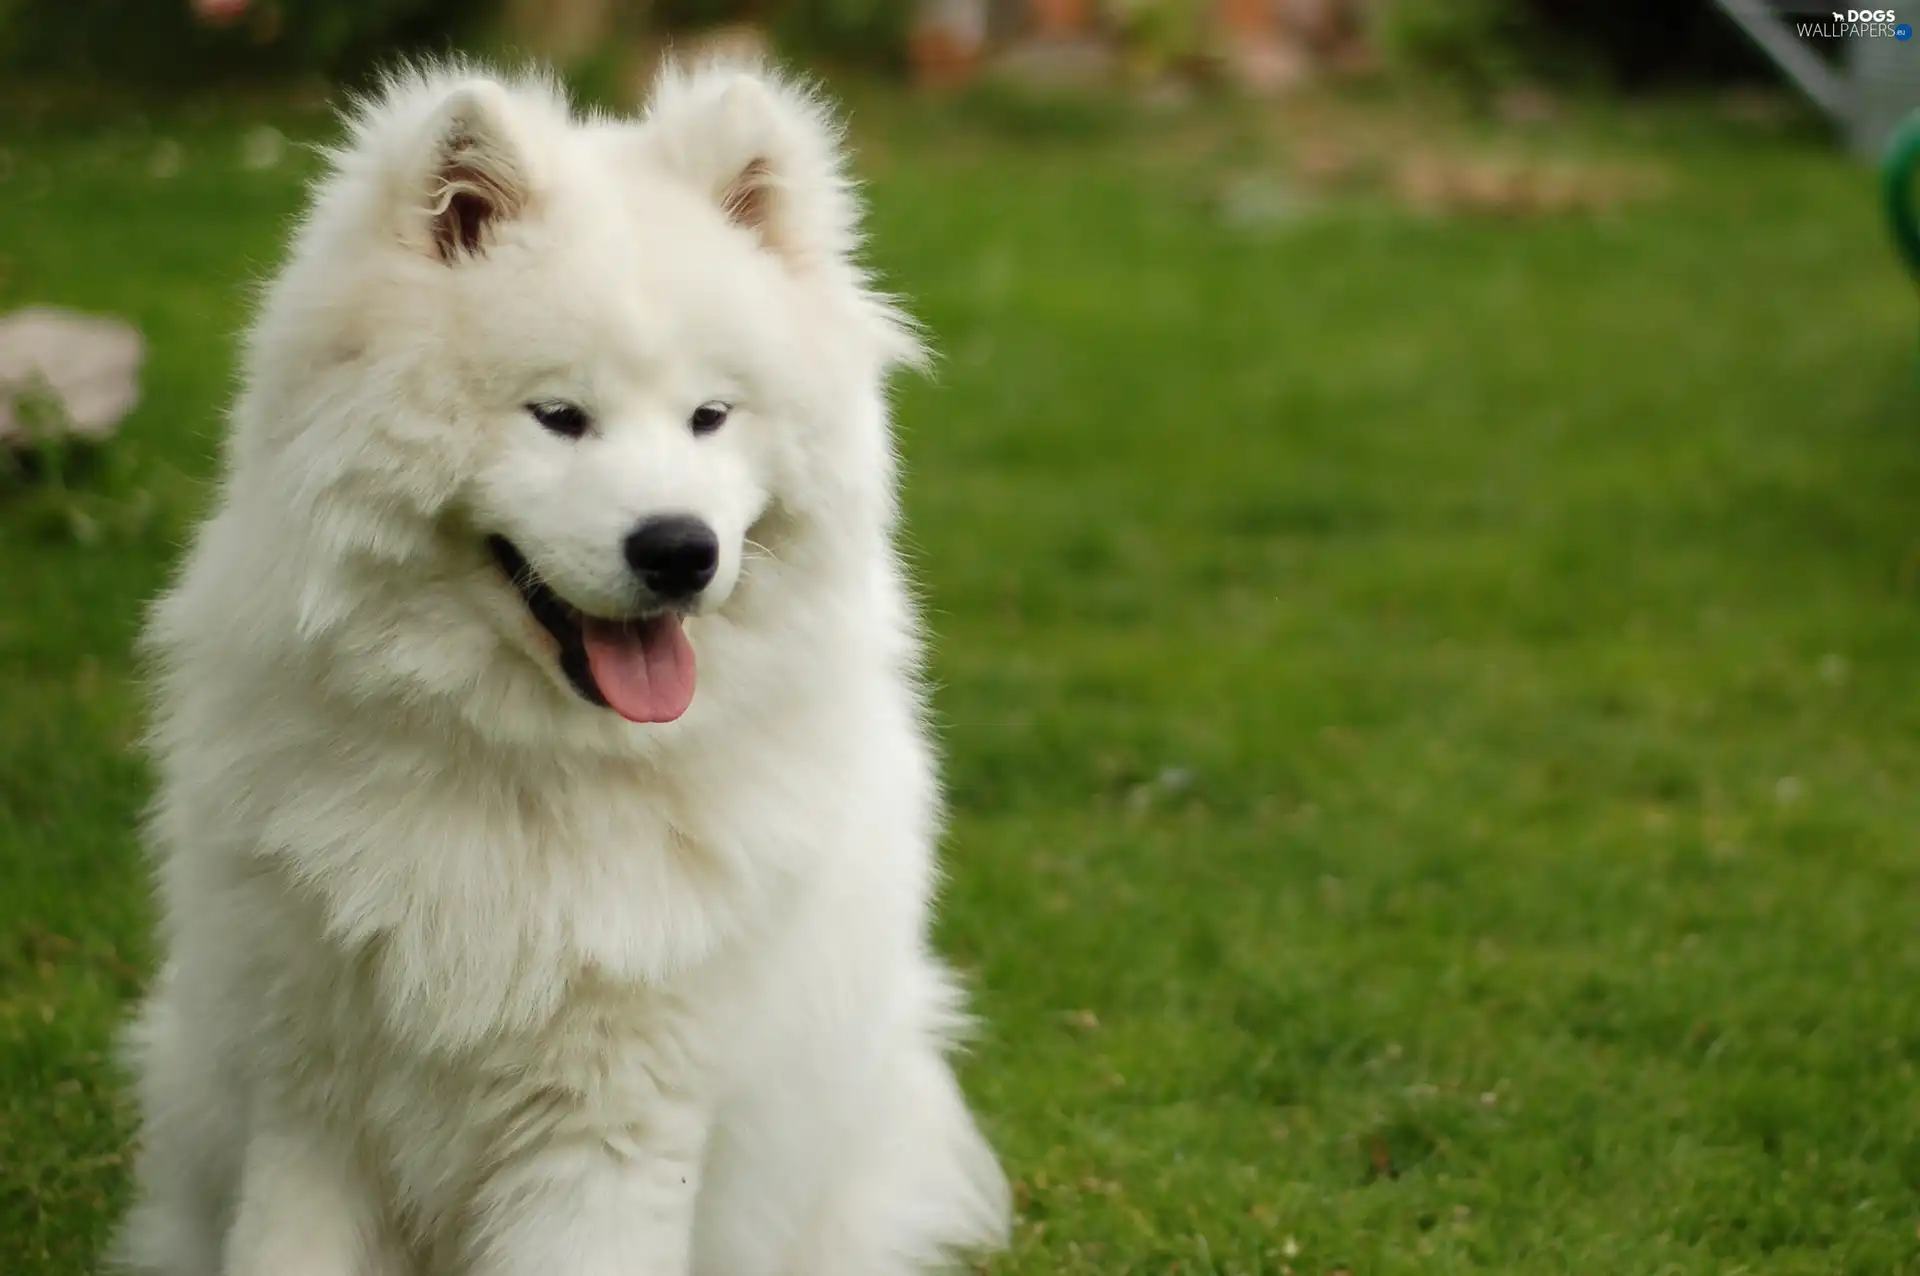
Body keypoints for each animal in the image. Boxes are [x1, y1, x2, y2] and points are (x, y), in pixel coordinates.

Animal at [112, 59, 1013, 1274]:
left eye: (710, 416)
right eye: (558, 416)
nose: (679, 549)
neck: (529, 768)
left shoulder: (613, 1118)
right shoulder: (309, 1101)